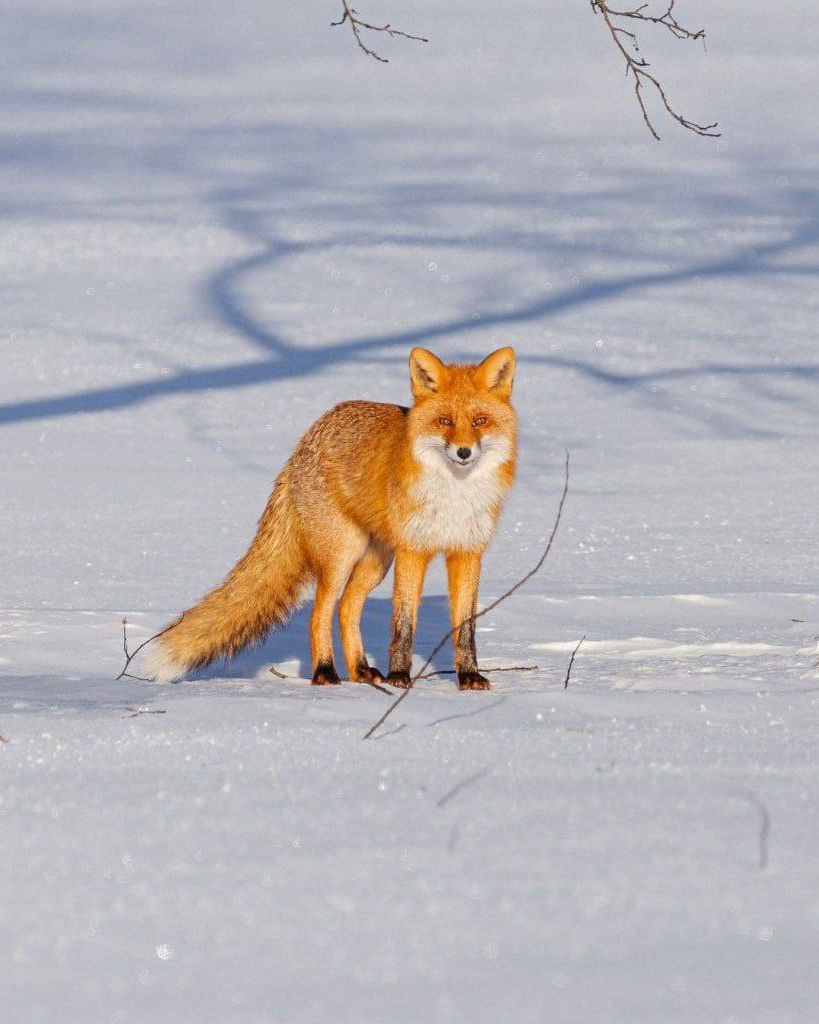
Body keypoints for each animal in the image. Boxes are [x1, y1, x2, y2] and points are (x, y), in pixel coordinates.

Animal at [145, 348, 518, 692]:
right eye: (444, 421)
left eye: (480, 421)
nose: (464, 452)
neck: (455, 495)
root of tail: (305, 441)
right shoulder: (413, 550)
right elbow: (403, 624)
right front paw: (399, 676)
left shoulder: (468, 552)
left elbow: (466, 627)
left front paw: (469, 677)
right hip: (341, 555)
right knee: (320, 612)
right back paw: (325, 671)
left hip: (375, 561)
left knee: (346, 608)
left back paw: (361, 670)